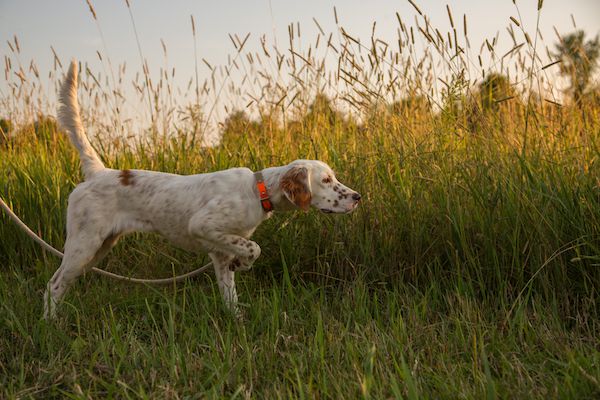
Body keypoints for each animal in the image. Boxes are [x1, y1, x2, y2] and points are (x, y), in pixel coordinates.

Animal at [44, 61, 360, 318]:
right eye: (326, 180)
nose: (357, 197)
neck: (256, 191)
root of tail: (99, 172)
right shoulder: (203, 225)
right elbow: (254, 248)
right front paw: (244, 263)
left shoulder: (220, 254)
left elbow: (231, 295)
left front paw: (238, 320)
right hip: (84, 243)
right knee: (53, 284)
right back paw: (51, 324)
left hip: (97, 248)